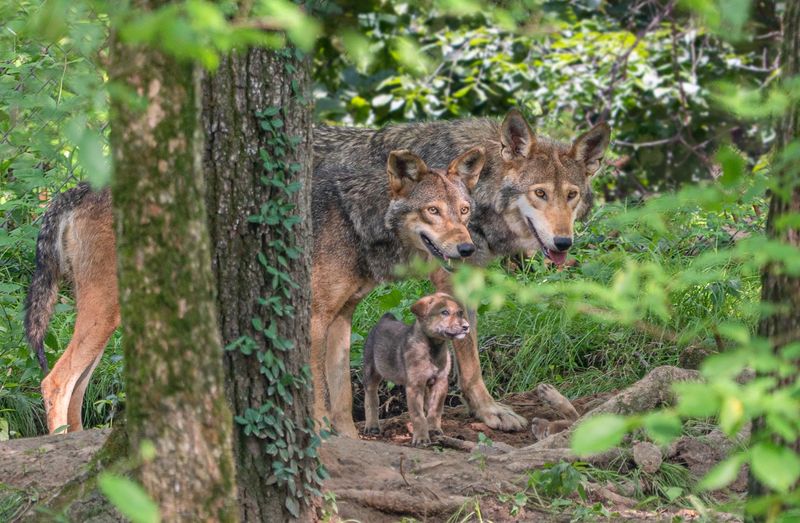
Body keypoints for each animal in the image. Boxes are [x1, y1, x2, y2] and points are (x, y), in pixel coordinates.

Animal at [362, 293, 468, 446]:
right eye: (445, 312)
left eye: (460, 313)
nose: (466, 326)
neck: (433, 348)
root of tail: (385, 318)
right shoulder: (415, 385)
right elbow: (418, 415)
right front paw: (421, 438)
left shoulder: (440, 382)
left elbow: (435, 410)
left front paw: (434, 429)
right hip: (371, 372)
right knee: (371, 399)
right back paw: (372, 426)